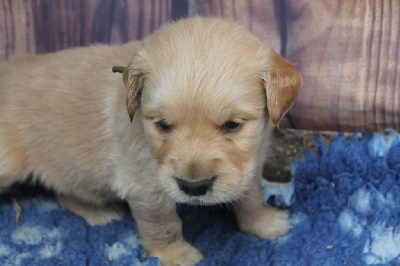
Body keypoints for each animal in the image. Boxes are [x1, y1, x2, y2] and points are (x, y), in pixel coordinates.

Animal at [0, 17, 300, 264]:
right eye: (162, 125)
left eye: (232, 125)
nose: (193, 187)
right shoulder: (146, 186)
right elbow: (163, 224)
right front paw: (176, 256)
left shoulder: (250, 163)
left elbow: (252, 196)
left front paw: (265, 223)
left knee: (64, 190)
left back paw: (97, 211)